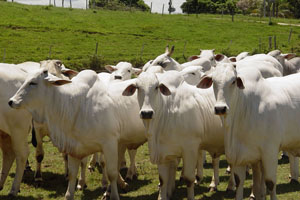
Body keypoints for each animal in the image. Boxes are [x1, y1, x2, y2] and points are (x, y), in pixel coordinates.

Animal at [8, 69, 146, 200]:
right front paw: (71, 193)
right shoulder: (74, 147)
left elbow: (111, 172)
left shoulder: (109, 144)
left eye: (33, 83)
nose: (11, 101)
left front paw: (112, 195)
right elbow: (72, 174)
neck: (76, 105)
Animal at [122, 71, 234, 199]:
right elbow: (163, 180)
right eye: (137, 88)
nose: (147, 113)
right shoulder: (163, 153)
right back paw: (214, 184)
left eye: (156, 87)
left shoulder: (190, 149)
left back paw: (231, 186)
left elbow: (189, 179)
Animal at [198, 61, 300, 199]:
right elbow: (242, 182)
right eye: (213, 81)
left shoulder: (270, 152)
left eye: (233, 81)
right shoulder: (241, 156)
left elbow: (270, 183)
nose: (220, 108)